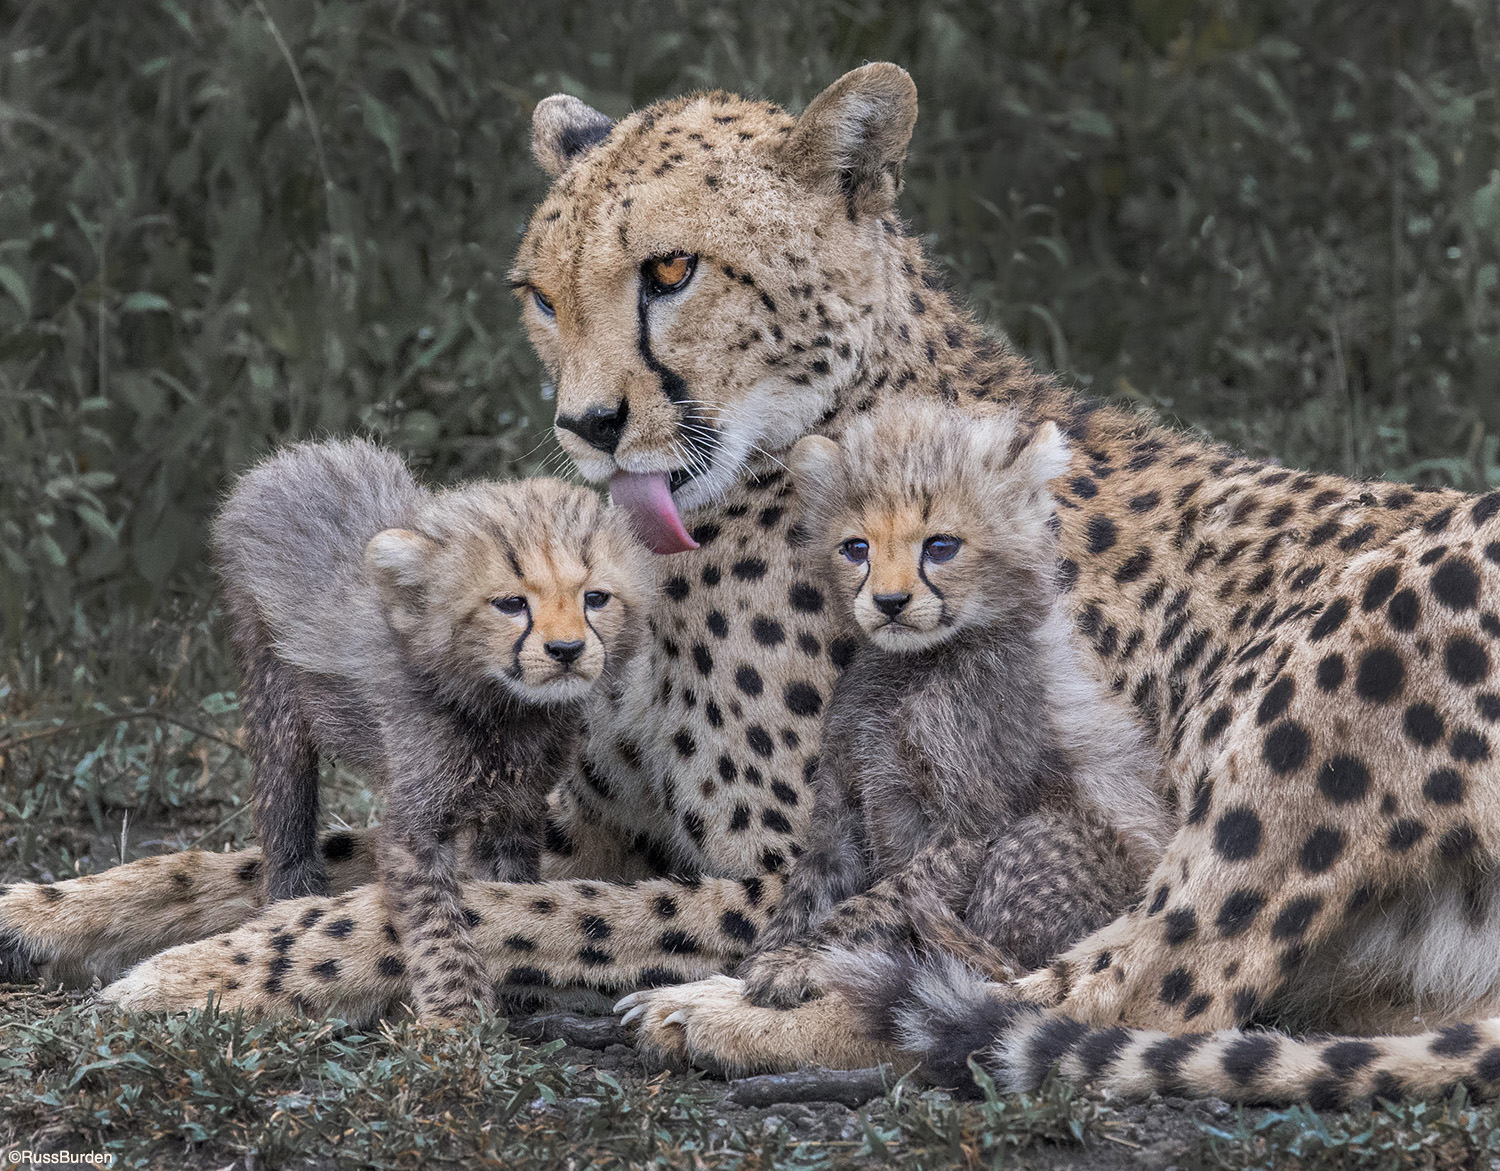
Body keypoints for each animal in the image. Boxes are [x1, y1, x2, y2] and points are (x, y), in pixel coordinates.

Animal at [8, 64, 1500, 1103]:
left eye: (672, 270)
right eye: (541, 294)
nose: (588, 425)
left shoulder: (772, 867)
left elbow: (480, 906)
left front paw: (203, 970)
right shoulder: (596, 819)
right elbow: (304, 856)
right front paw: (54, 909)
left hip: (1334, 660)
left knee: (1143, 988)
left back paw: (732, 1015)